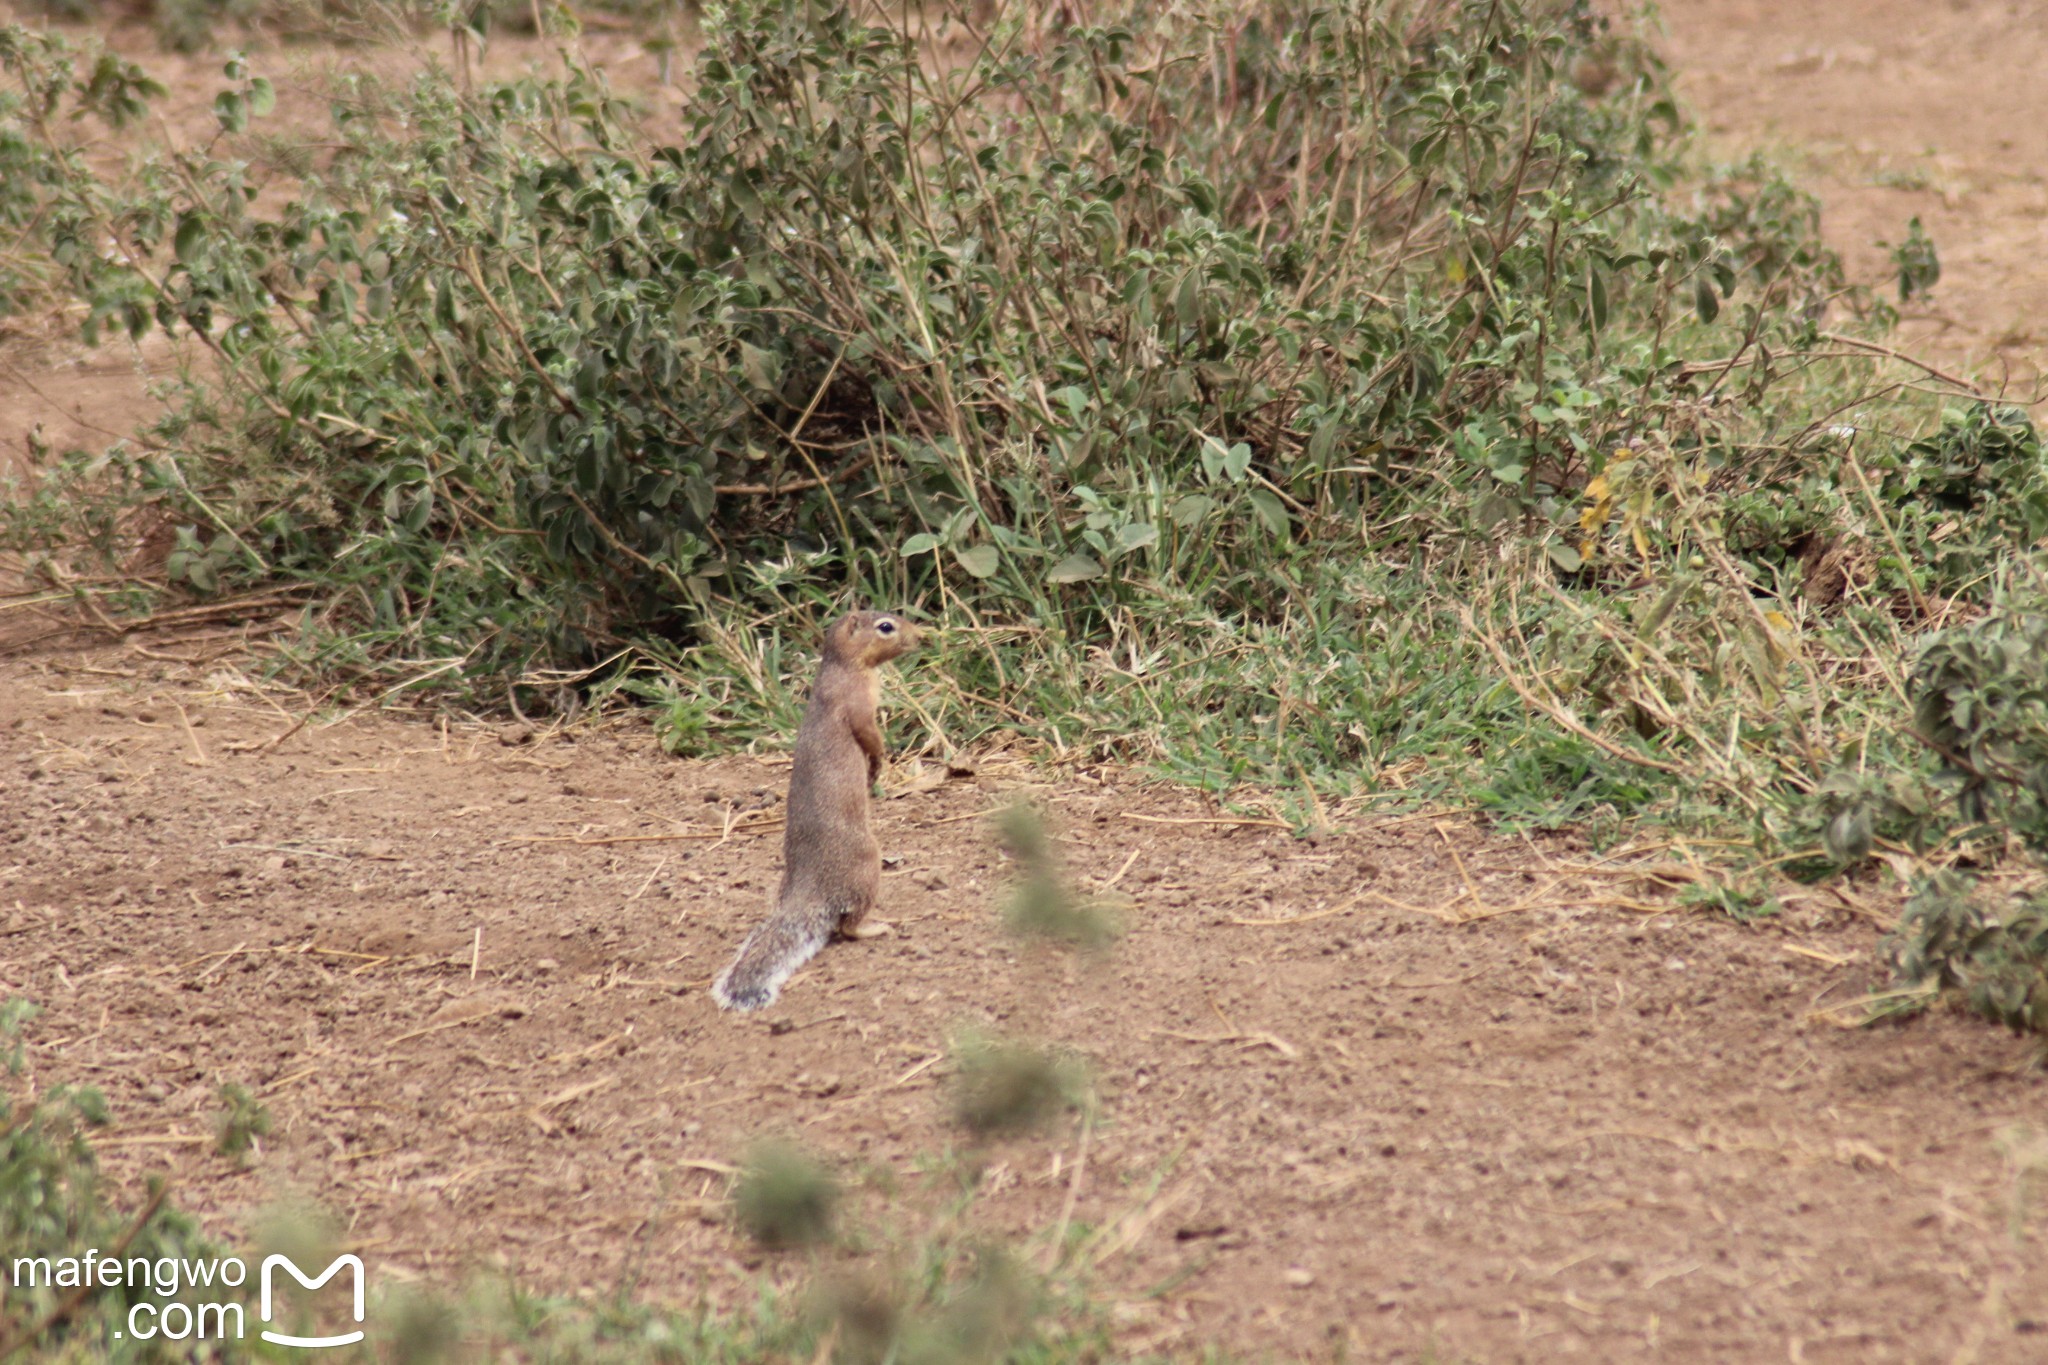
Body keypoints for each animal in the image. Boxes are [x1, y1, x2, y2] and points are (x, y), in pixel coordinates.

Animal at [708, 613, 925, 1010]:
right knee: (848, 926)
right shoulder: (858, 704)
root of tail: (808, 892)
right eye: (886, 626)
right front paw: (878, 765)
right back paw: (877, 927)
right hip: (867, 867)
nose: (920, 636)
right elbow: (870, 736)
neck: (842, 667)